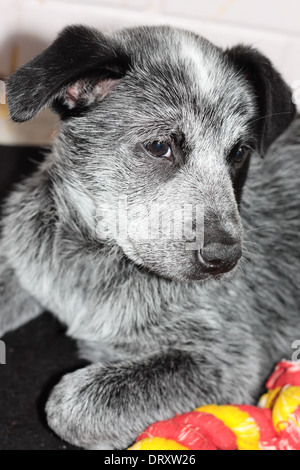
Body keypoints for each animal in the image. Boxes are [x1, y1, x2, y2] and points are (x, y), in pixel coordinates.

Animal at [1, 24, 298, 448]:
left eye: (239, 152)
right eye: (160, 146)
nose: (225, 259)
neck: (92, 257)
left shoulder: (229, 361)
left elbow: (69, 403)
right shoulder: (22, 264)